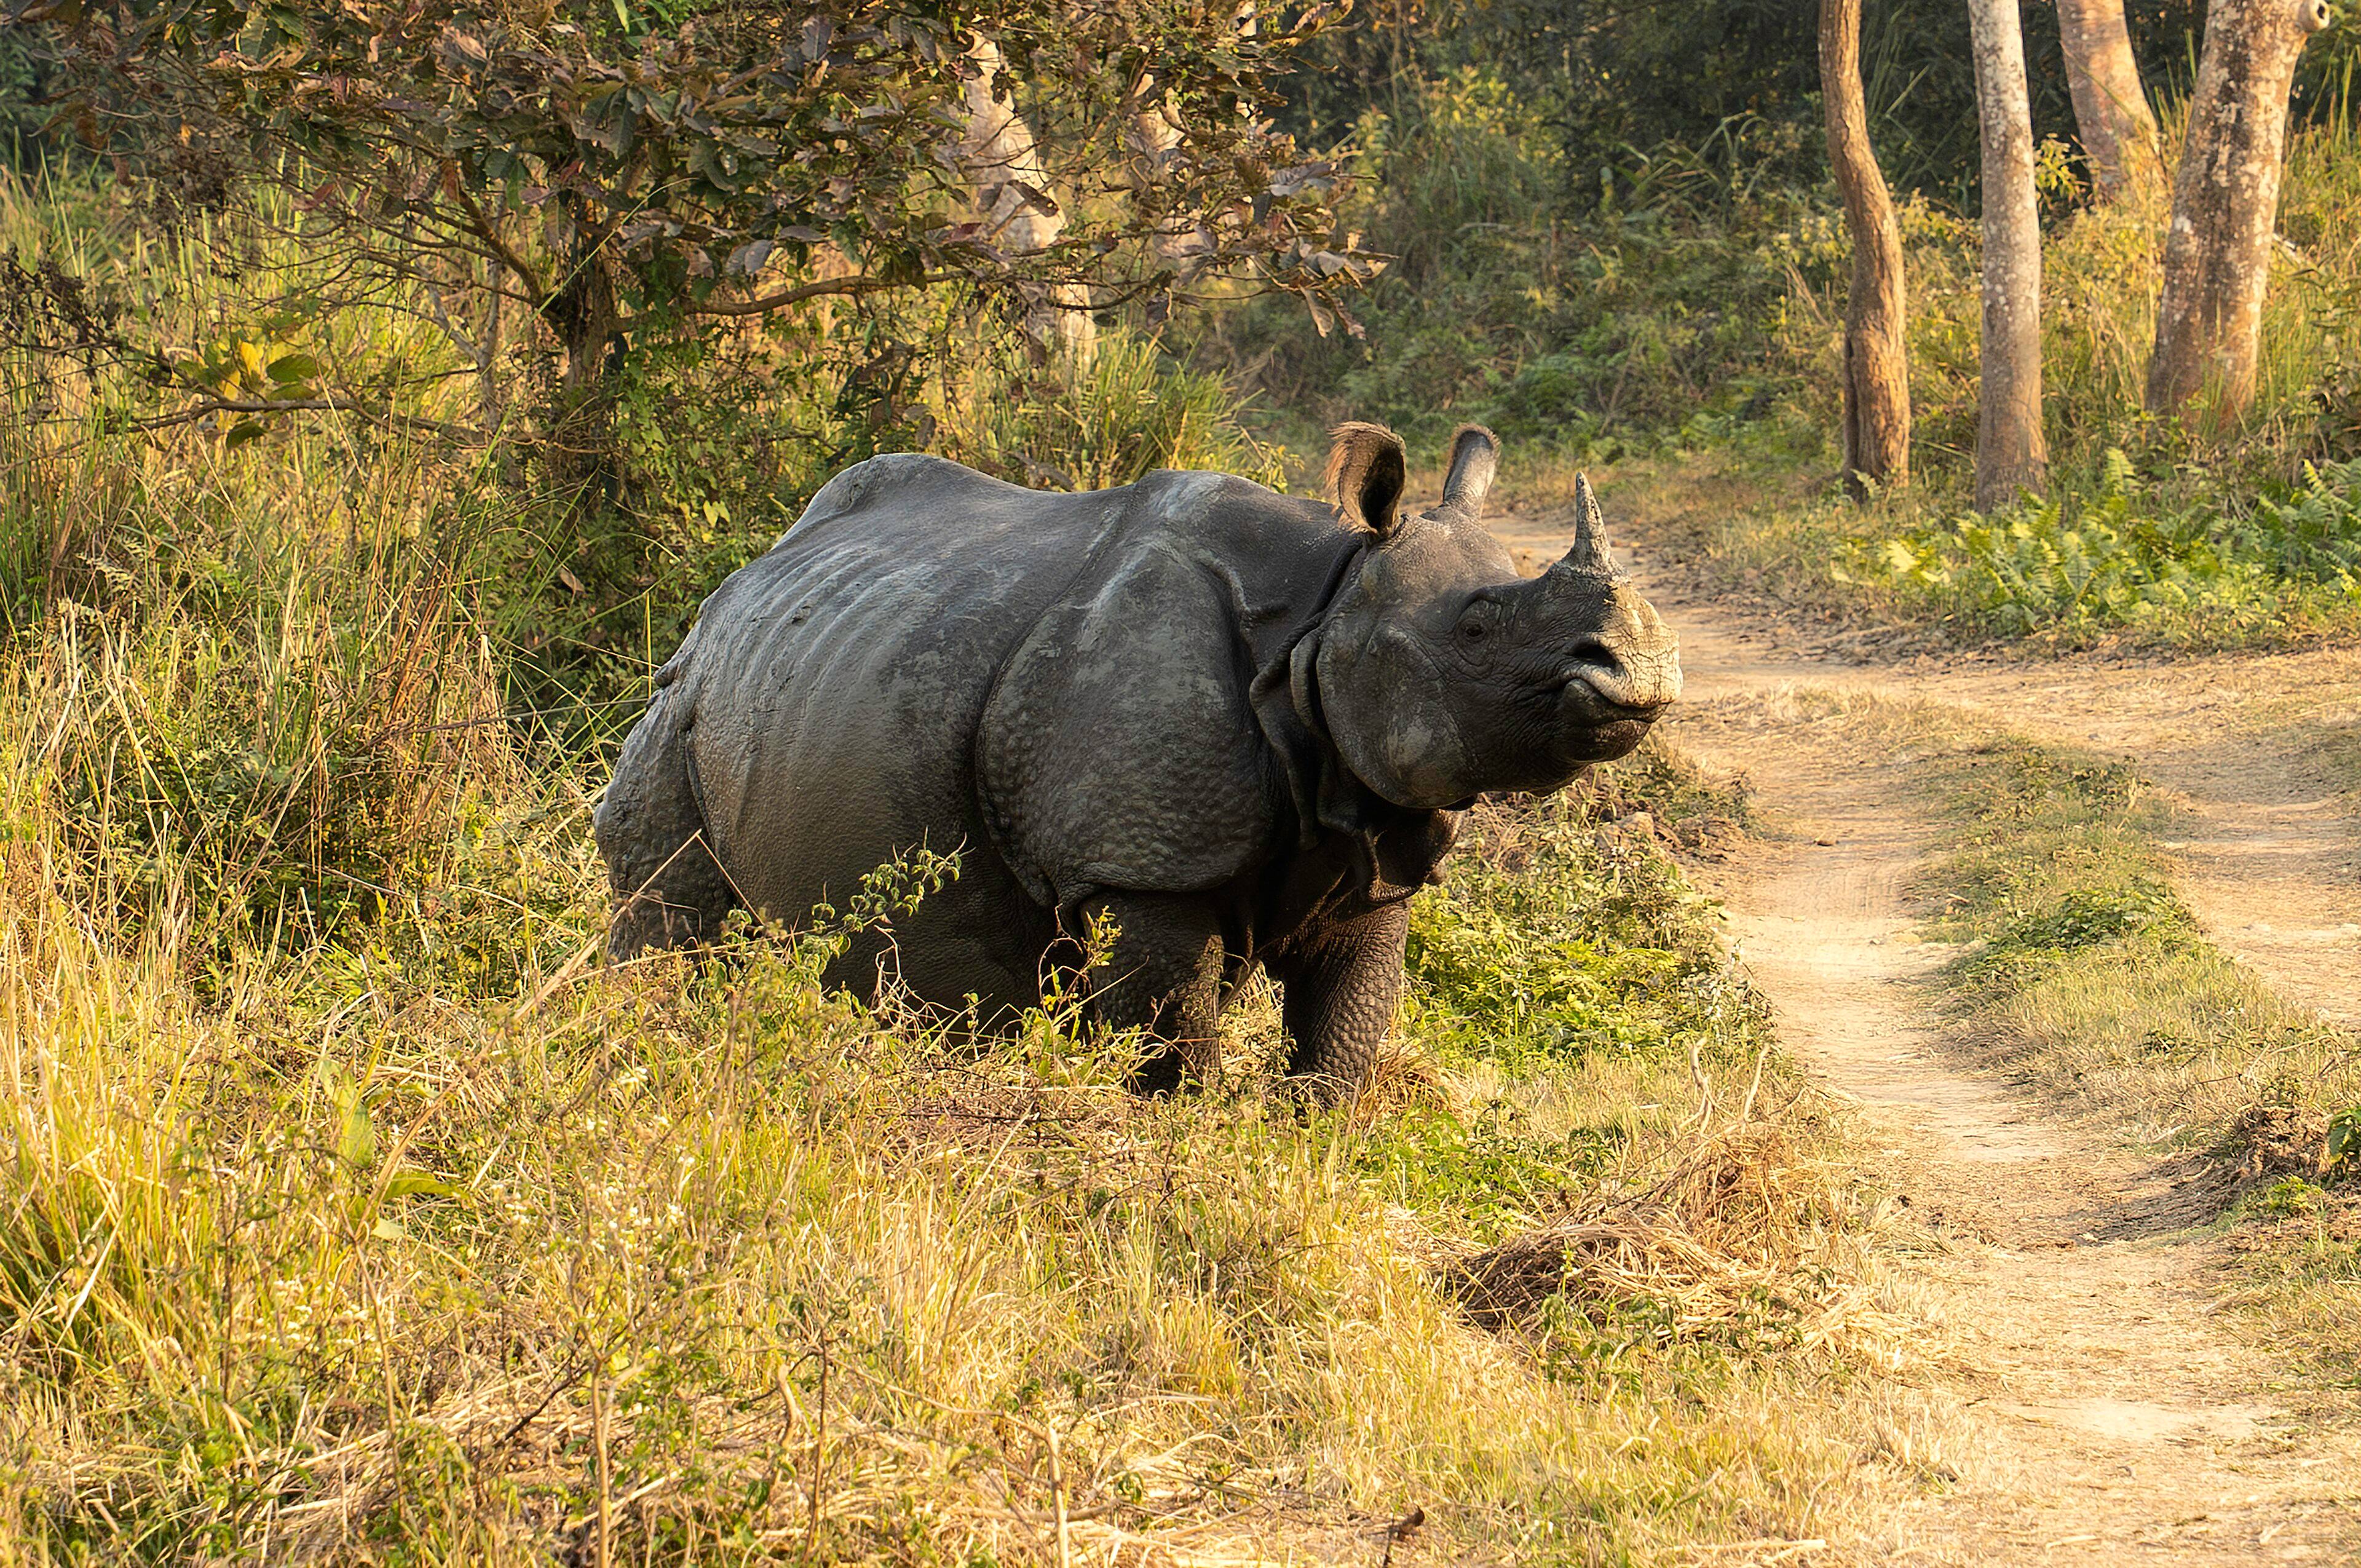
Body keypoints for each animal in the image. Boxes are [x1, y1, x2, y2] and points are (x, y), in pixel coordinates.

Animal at [593, 422, 1679, 1098]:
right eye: (1477, 625)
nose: (1640, 669)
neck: (1327, 609)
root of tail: (748, 576)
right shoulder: (1141, 856)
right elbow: (1170, 1039)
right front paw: (1183, 1147)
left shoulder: (1371, 831)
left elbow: (1343, 1034)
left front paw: (1310, 1151)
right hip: (687, 686)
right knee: (665, 894)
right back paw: (645, 1035)